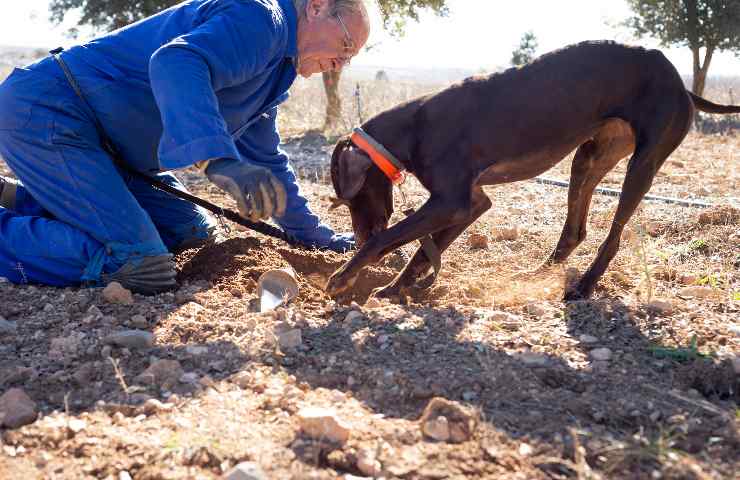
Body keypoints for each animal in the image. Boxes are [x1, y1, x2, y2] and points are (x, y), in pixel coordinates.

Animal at [326, 43, 740, 302]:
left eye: (351, 196)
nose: (357, 236)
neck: (413, 125)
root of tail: (682, 84)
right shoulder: (471, 203)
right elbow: (424, 253)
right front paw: (394, 289)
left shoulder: (450, 202)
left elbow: (390, 239)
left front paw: (344, 276)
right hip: (588, 158)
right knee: (574, 232)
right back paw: (537, 275)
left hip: (643, 165)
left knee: (614, 235)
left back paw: (584, 287)